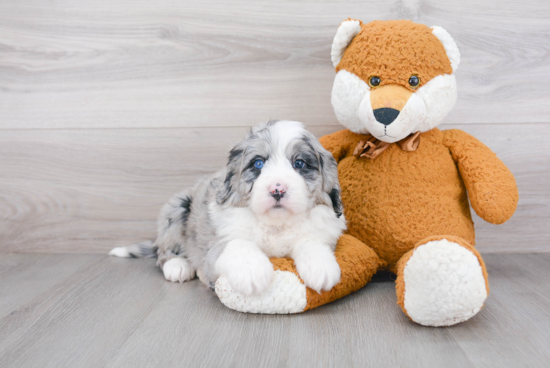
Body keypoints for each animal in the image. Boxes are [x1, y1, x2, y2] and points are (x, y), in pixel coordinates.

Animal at [110, 121, 348, 296]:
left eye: (299, 164)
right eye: (258, 163)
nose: (277, 189)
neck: (275, 223)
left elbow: (310, 241)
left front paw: (321, 268)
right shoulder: (219, 243)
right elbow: (239, 244)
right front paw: (253, 273)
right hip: (177, 207)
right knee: (163, 252)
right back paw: (178, 266)